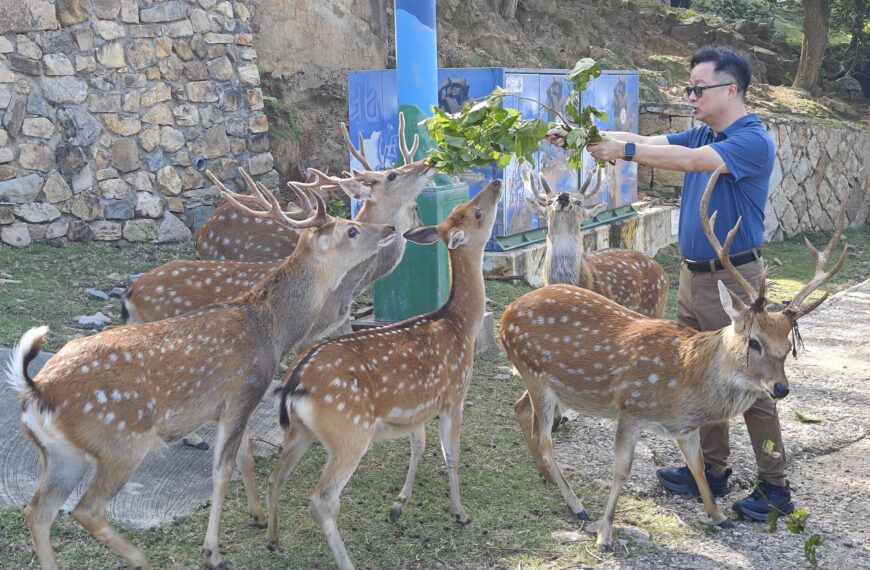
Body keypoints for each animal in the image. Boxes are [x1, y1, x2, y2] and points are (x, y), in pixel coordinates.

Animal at [6, 178, 400, 568]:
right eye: (351, 230)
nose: (390, 228)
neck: (269, 333)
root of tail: (35, 390)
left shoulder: (234, 403)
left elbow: (241, 457)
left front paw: (257, 516)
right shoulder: (241, 393)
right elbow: (223, 471)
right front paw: (213, 551)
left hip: (60, 455)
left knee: (37, 511)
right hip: (120, 442)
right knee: (85, 509)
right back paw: (140, 557)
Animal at [266, 179, 504, 568]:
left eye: (464, 209)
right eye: (477, 213)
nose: (496, 182)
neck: (460, 326)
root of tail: (293, 386)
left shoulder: (418, 406)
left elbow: (419, 446)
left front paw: (398, 507)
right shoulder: (454, 394)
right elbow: (450, 455)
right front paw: (460, 513)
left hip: (299, 431)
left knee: (277, 476)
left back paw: (272, 539)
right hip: (350, 430)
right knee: (322, 500)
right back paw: (346, 561)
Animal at [500, 165, 848, 552]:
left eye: (787, 348)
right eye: (754, 342)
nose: (781, 388)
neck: (685, 381)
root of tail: (505, 313)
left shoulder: (686, 428)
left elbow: (697, 465)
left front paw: (718, 515)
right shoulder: (631, 407)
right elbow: (620, 470)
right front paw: (606, 533)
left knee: (524, 413)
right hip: (534, 371)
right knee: (544, 438)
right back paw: (577, 506)